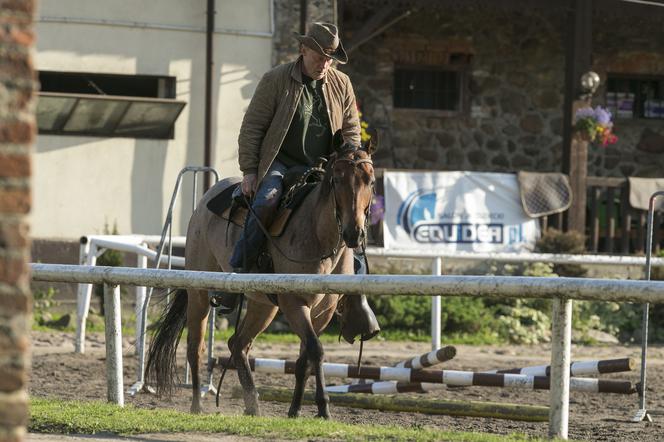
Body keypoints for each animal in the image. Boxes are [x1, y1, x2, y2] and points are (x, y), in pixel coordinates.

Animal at [147, 134, 378, 418]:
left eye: (371, 181)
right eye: (336, 179)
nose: (354, 233)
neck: (317, 235)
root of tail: (205, 200)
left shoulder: (322, 312)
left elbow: (305, 359)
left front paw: (295, 410)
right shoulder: (294, 304)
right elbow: (316, 350)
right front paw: (323, 408)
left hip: (263, 305)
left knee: (238, 344)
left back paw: (252, 404)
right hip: (199, 294)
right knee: (195, 348)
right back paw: (197, 406)